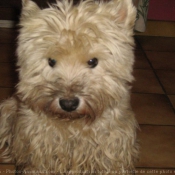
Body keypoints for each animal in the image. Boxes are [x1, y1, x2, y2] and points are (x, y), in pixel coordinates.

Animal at [0, 0, 139, 174]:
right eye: (51, 61)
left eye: (93, 61)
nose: (68, 104)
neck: (74, 123)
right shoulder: (39, 142)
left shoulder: (112, 143)